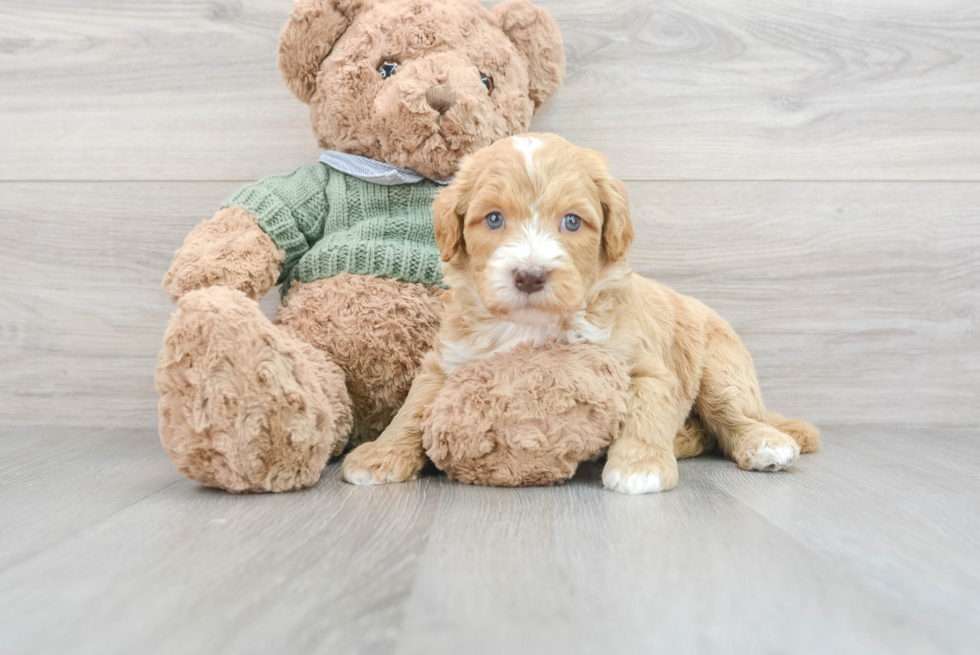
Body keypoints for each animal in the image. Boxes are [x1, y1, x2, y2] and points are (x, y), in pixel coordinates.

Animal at [344, 133, 820, 494]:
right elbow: (413, 409)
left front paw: (641, 467)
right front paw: (380, 454)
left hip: (722, 368)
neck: (533, 327)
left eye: (572, 222)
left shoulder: (644, 365)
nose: (530, 276)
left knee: (734, 415)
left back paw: (764, 443)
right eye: (493, 219)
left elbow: (646, 412)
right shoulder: (447, 361)